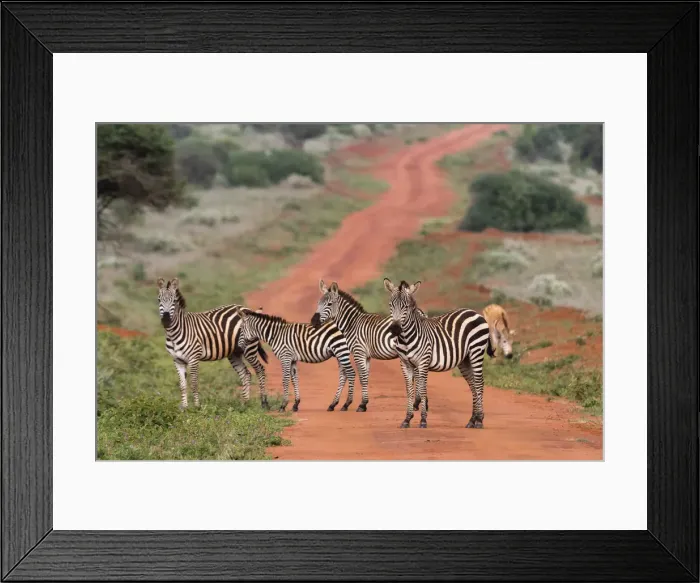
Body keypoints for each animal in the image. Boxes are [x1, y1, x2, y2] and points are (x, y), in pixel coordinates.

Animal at [157, 278, 269, 410]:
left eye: (174, 301)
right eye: (159, 300)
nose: (166, 320)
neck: (174, 334)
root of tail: (245, 308)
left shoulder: (193, 358)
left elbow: (194, 383)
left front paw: (197, 407)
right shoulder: (177, 360)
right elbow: (182, 385)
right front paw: (184, 408)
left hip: (249, 349)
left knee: (260, 370)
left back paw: (264, 403)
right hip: (234, 353)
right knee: (245, 374)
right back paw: (244, 404)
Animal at [311, 279, 430, 412]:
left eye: (329, 304)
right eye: (318, 303)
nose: (313, 322)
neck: (352, 324)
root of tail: (421, 313)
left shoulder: (359, 352)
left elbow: (362, 377)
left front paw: (361, 405)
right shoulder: (366, 355)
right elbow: (366, 377)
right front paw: (364, 403)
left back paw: (418, 403)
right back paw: (422, 403)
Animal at [383, 277, 493, 429]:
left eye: (406, 306)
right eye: (391, 305)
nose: (394, 329)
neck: (405, 338)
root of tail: (473, 312)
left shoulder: (423, 363)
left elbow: (422, 389)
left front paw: (423, 420)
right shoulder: (405, 364)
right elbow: (409, 391)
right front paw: (407, 419)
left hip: (477, 351)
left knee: (479, 383)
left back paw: (480, 420)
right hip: (465, 359)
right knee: (472, 385)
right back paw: (472, 420)